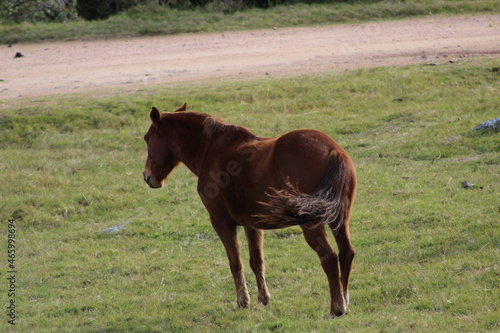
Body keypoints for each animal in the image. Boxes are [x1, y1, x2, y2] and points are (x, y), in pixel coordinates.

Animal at [143, 102, 358, 316]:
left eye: (146, 139)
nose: (147, 176)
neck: (213, 149)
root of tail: (332, 151)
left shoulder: (221, 222)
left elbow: (235, 262)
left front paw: (243, 301)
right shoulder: (252, 224)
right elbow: (256, 261)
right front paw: (263, 298)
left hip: (312, 224)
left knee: (329, 257)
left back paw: (337, 306)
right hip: (339, 219)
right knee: (346, 252)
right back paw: (345, 299)